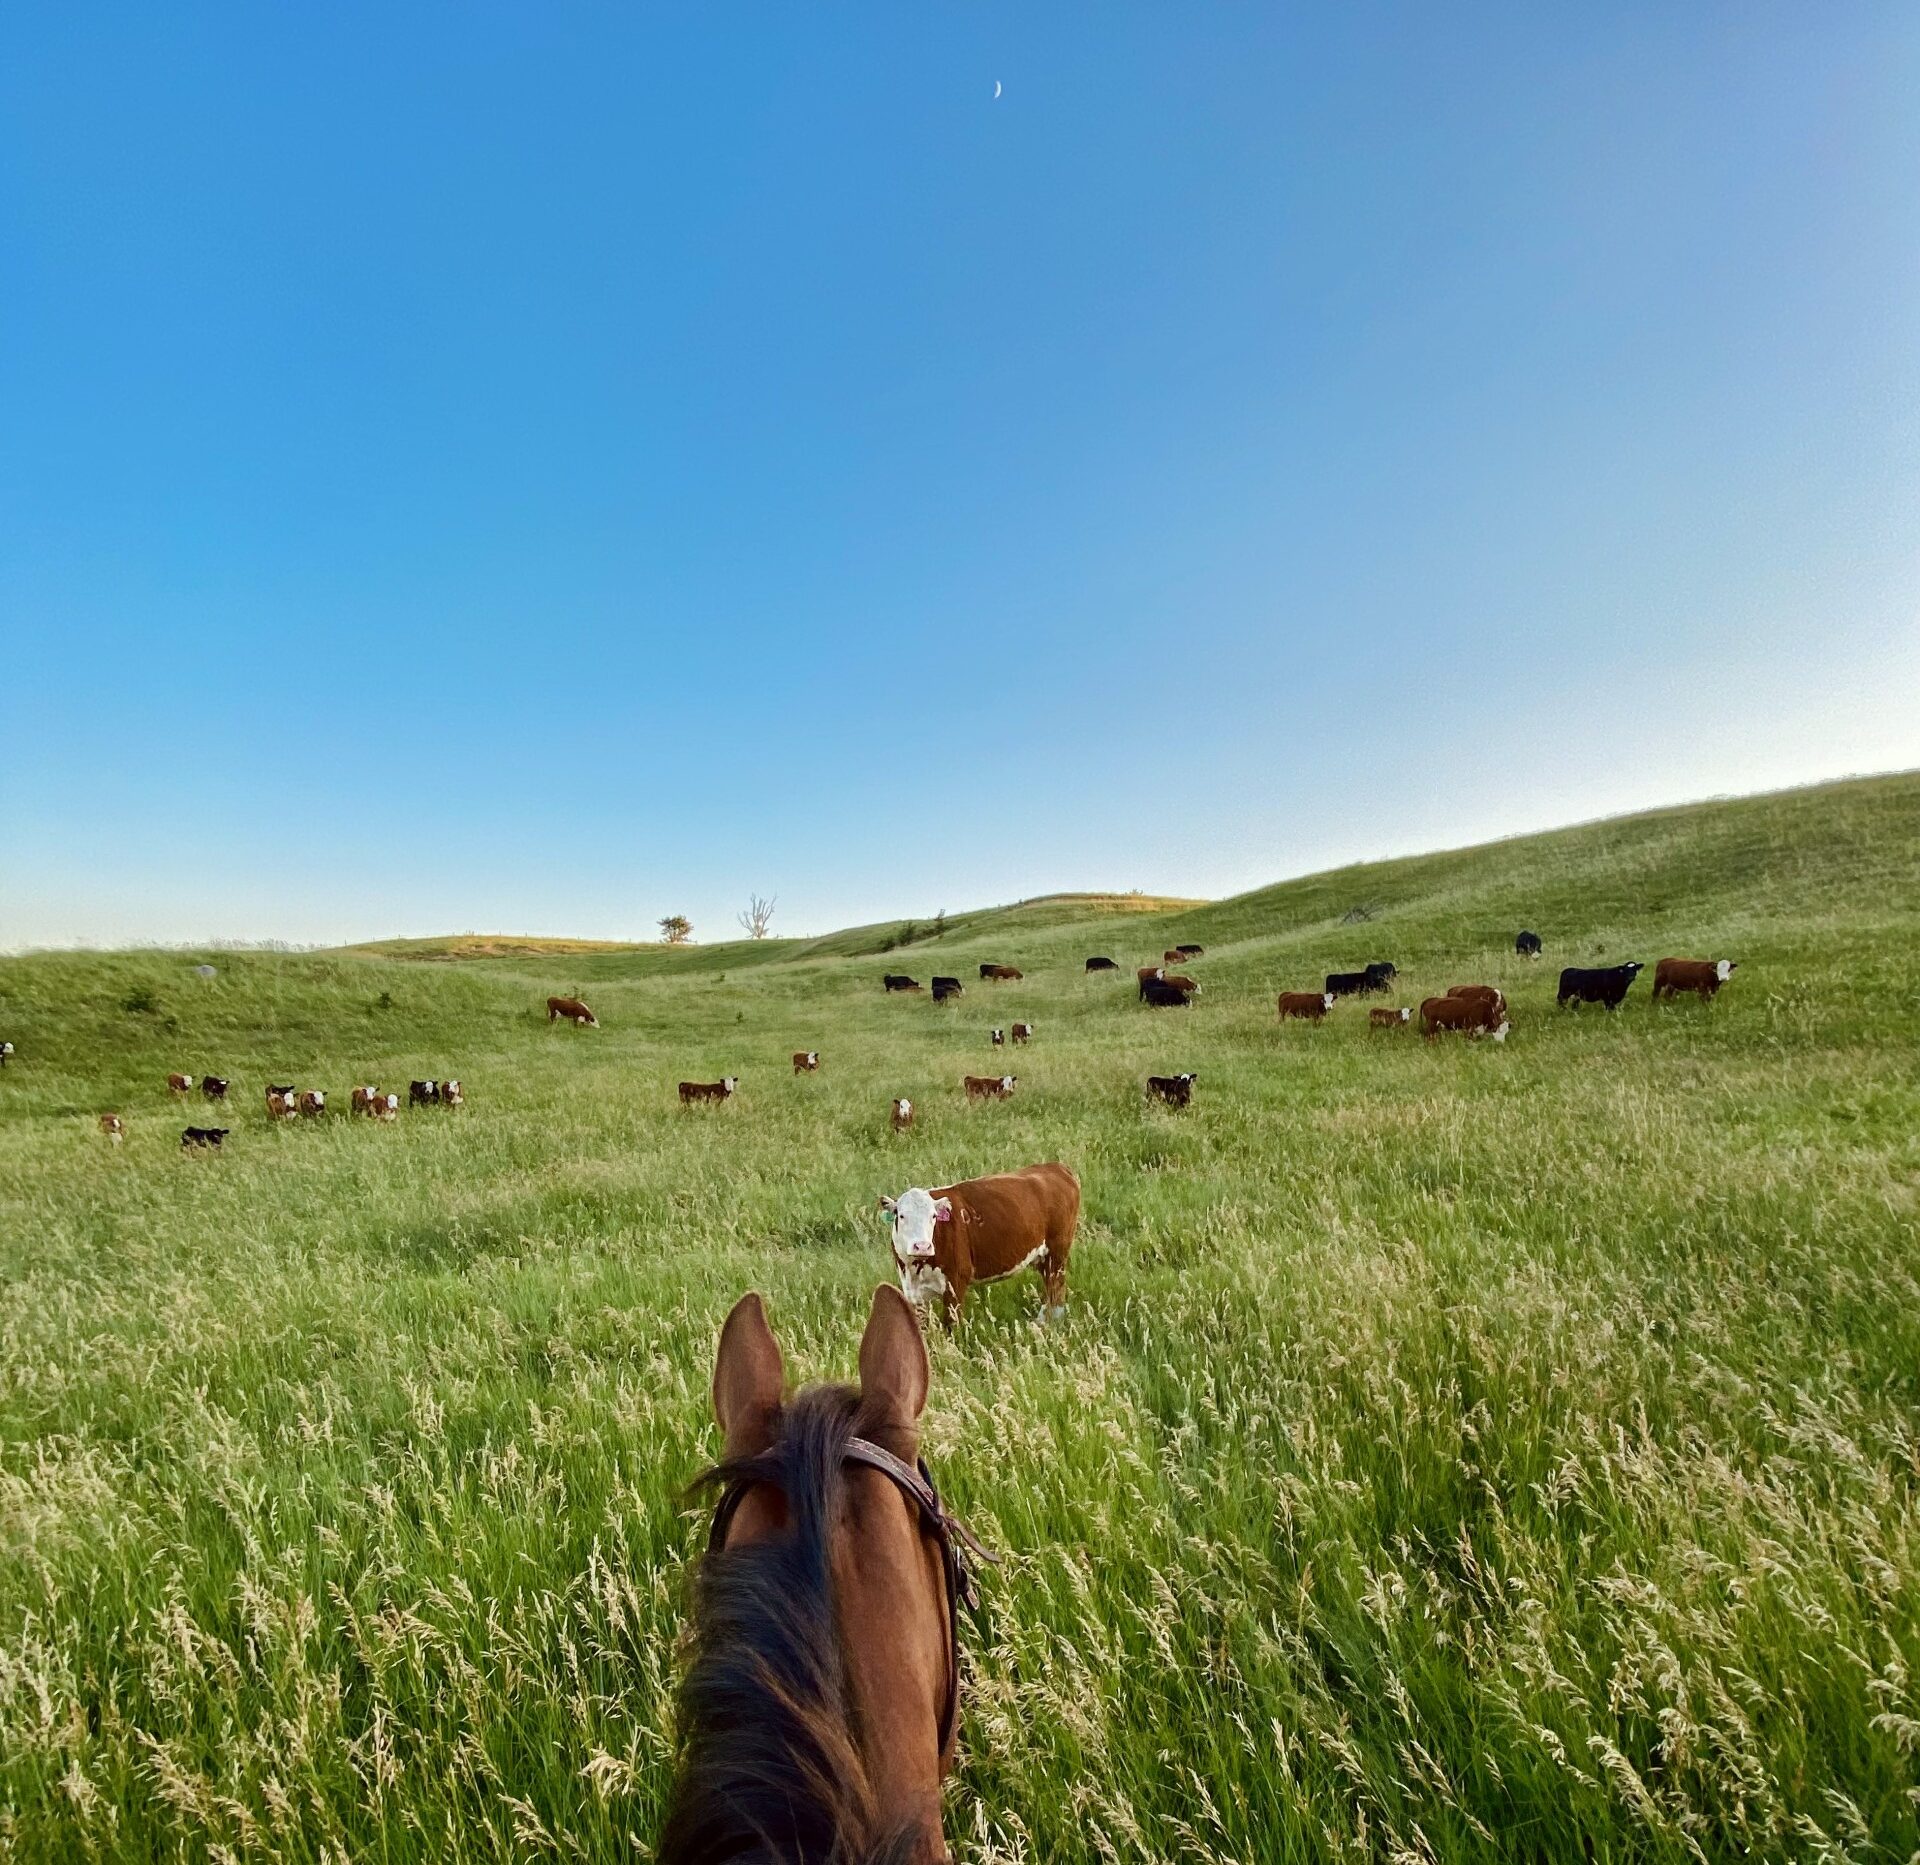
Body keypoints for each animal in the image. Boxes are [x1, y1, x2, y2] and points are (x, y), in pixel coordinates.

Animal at [880, 1161, 1080, 1326]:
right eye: (901, 1215)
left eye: (934, 1216)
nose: (922, 1246)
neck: (916, 1267)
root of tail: (1055, 1167)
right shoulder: (913, 1294)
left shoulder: (956, 1283)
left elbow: (952, 1327)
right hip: (1042, 1257)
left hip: (1057, 1252)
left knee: (1056, 1287)